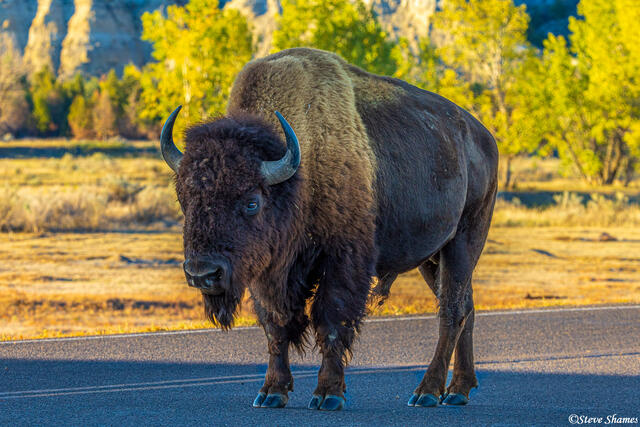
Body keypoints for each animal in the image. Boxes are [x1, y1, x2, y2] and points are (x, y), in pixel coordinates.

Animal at [160, 48, 498, 411]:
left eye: (252, 202)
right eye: (184, 199)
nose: (202, 273)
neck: (300, 172)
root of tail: (484, 137)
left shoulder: (342, 261)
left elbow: (331, 320)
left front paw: (328, 394)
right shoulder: (267, 272)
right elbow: (275, 327)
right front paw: (271, 392)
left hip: (463, 241)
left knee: (451, 312)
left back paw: (428, 392)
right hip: (432, 258)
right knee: (467, 307)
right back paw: (459, 390)